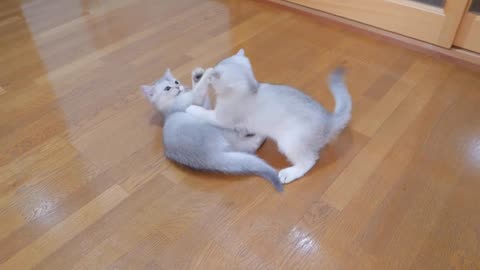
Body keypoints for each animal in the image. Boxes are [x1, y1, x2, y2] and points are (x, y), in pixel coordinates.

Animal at [142, 67, 284, 192]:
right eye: (167, 88)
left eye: (176, 82)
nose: (178, 87)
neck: (169, 107)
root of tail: (210, 158)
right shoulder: (195, 101)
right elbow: (199, 90)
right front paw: (208, 72)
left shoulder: (204, 105)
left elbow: (198, 88)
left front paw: (197, 74)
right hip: (222, 131)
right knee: (249, 145)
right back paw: (259, 133)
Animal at [186, 49, 350, 184]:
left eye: (212, 78)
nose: (208, 77)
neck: (250, 88)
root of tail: (329, 118)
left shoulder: (220, 117)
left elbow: (202, 111)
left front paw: (191, 108)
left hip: (288, 142)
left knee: (309, 160)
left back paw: (288, 174)